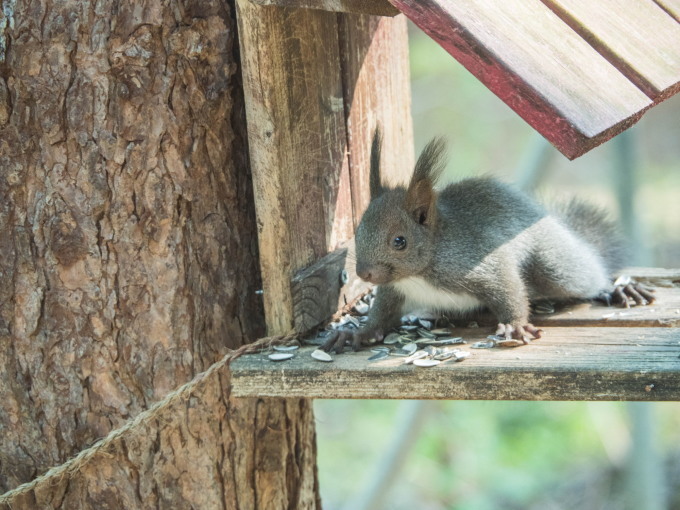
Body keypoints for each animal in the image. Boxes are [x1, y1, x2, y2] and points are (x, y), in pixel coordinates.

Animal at [322, 130, 652, 354]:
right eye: (359, 230)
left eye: (399, 241)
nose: (364, 273)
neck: (420, 272)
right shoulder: (394, 291)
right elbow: (380, 319)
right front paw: (356, 334)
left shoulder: (479, 262)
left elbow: (509, 289)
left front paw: (515, 325)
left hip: (554, 265)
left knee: (583, 276)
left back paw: (617, 288)